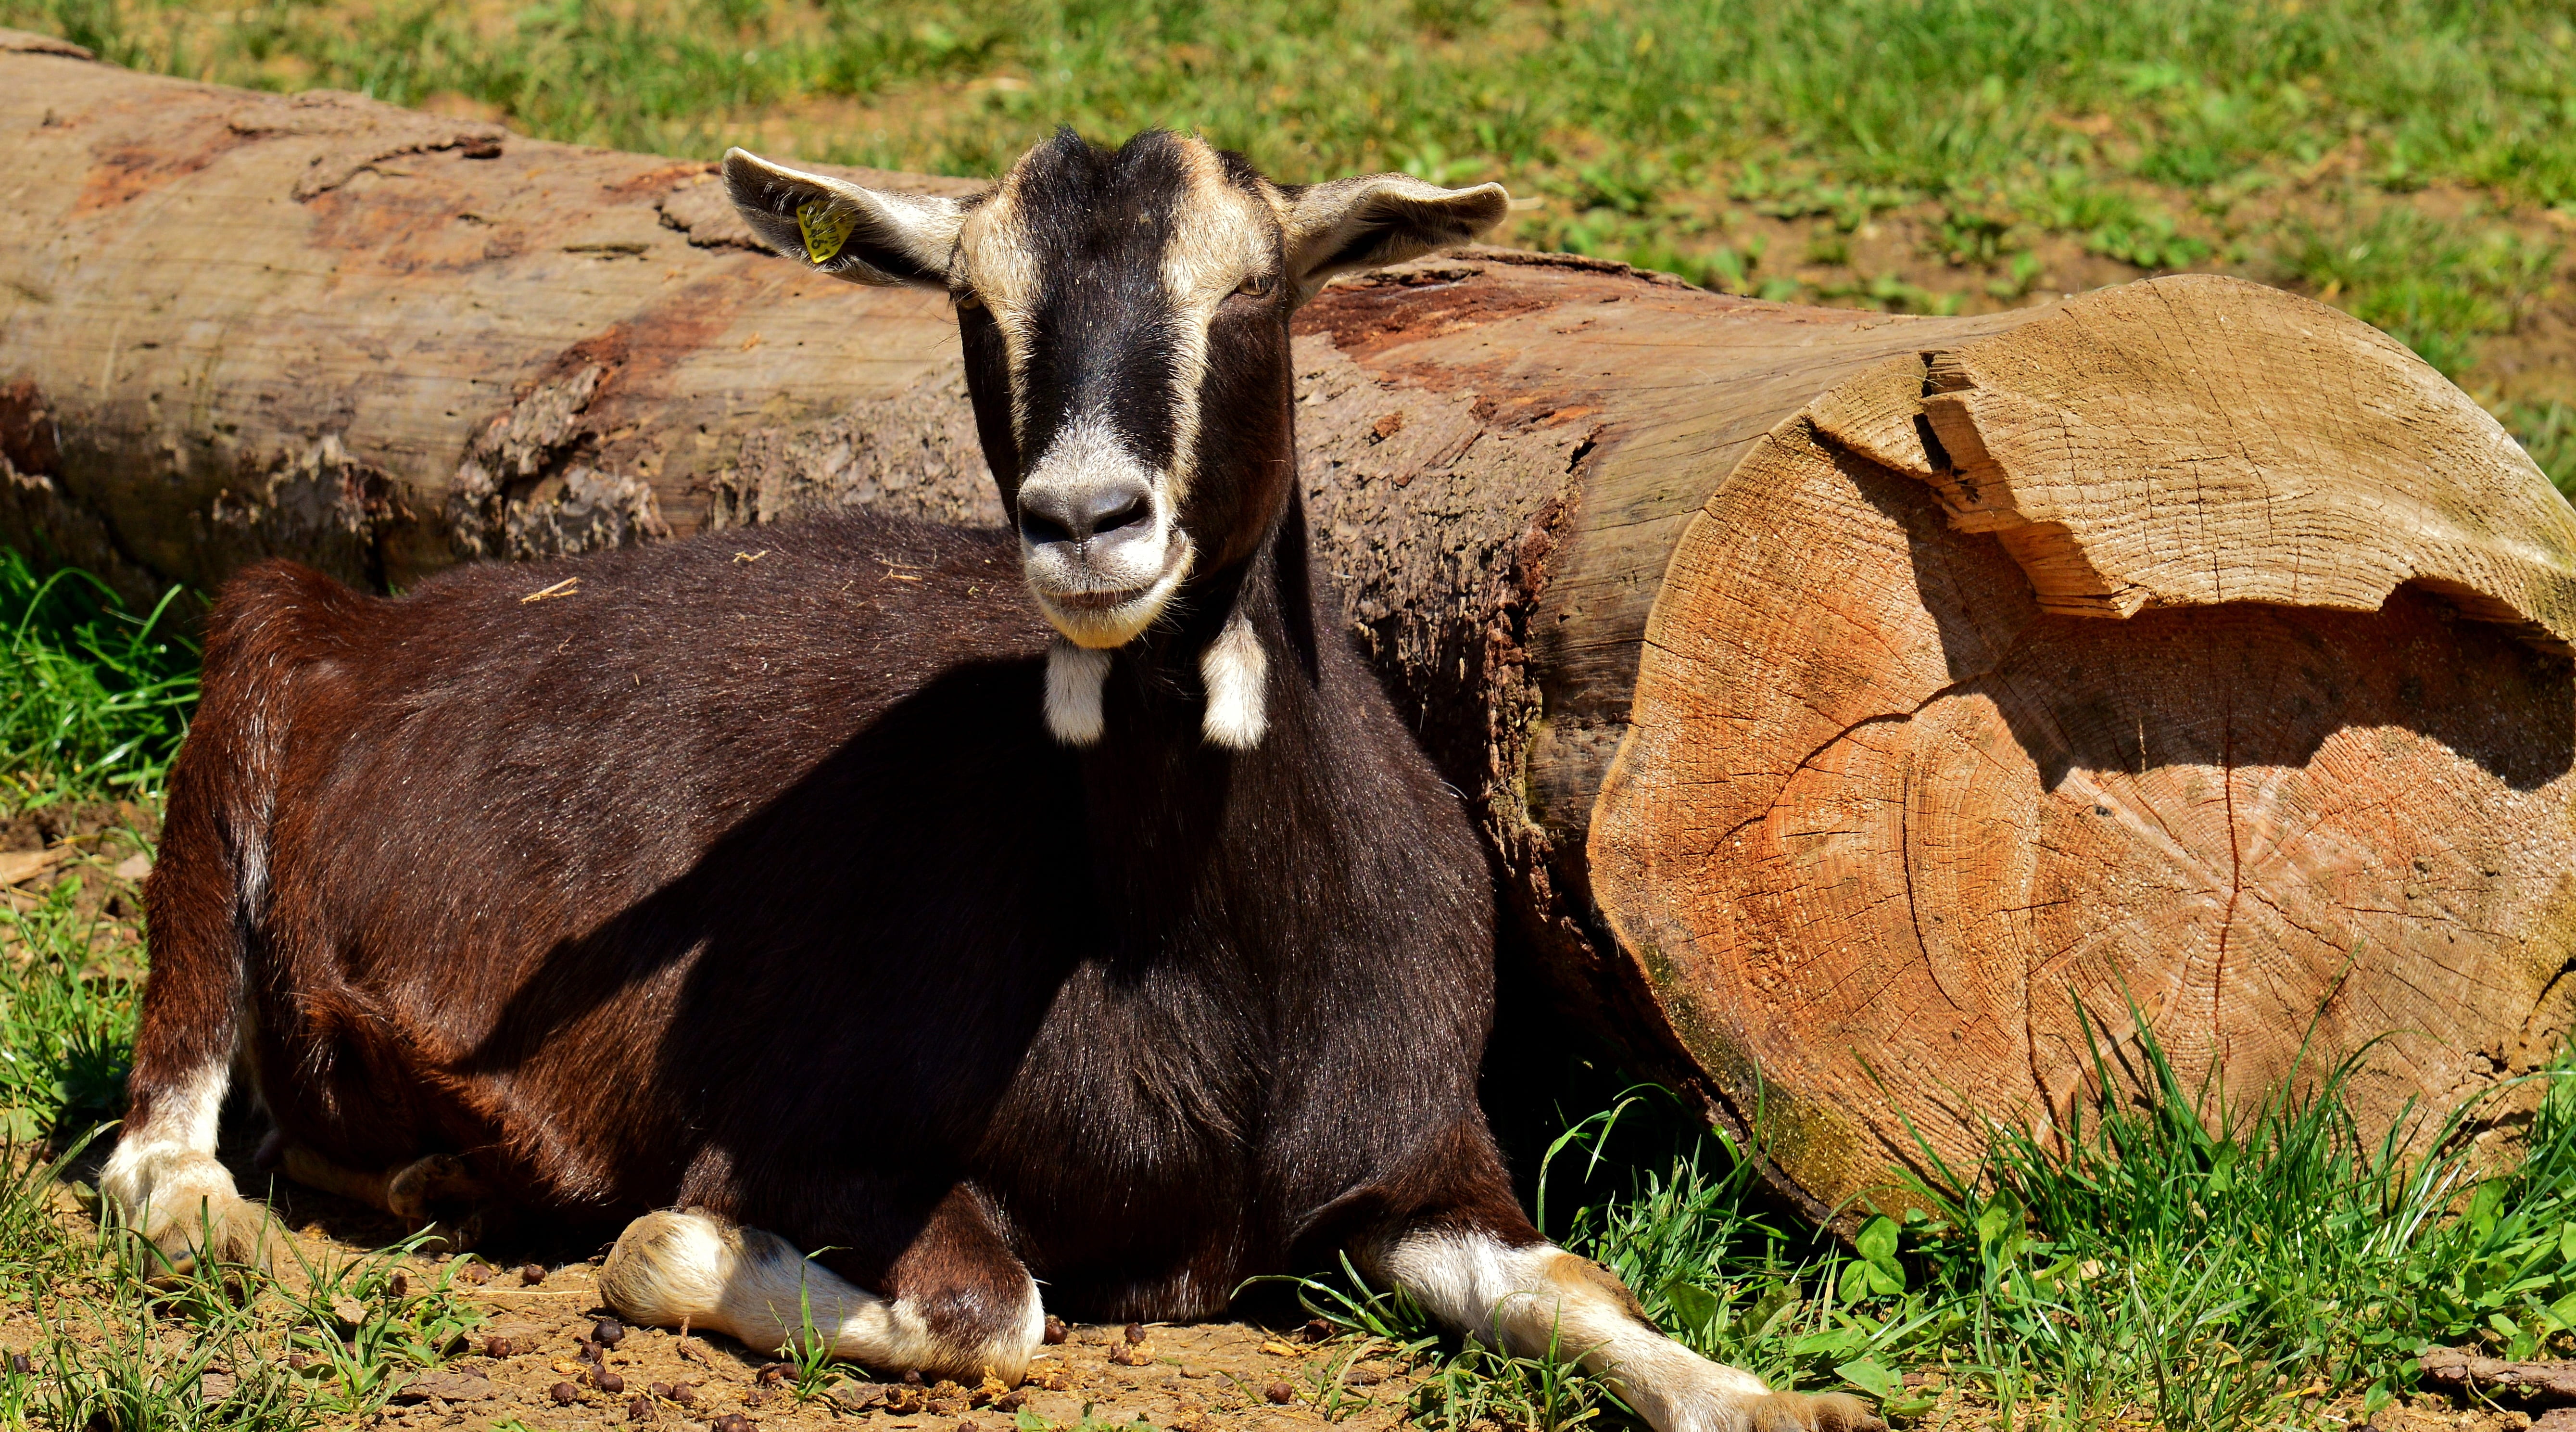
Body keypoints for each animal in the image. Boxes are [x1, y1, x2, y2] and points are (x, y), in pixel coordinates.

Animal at [101, 129, 1880, 1432]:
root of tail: (375, 621)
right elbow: (974, 1304)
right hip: (242, 678)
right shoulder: (810, 1136)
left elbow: (1575, 1285)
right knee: (151, 1148)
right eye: (971, 303)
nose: (1086, 520)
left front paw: (1776, 1401)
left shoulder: (1417, 1157)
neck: (1201, 968)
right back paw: (232, 1207)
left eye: (1256, 287)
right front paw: (661, 1246)